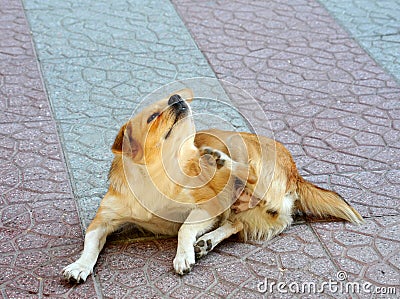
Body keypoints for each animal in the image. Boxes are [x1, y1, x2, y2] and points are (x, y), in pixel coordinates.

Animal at [61, 89, 362, 284]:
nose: (176, 97)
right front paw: (79, 265)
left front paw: (182, 255)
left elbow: (183, 228)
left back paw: (221, 160)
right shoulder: (102, 220)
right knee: (237, 223)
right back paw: (207, 241)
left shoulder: (207, 207)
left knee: (250, 178)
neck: (160, 174)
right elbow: (90, 245)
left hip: (247, 157)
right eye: (152, 117)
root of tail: (295, 172)